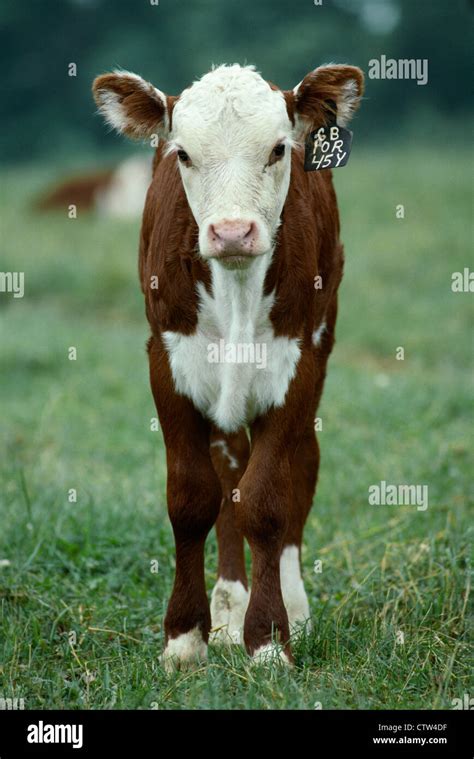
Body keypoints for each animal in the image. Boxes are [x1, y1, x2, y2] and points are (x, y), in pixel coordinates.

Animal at [94, 63, 364, 672]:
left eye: (279, 148)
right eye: (183, 153)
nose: (234, 232)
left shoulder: (297, 366)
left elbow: (266, 501)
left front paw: (268, 639)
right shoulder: (168, 363)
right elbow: (194, 498)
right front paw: (184, 637)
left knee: (297, 473)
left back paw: (292, 608)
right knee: (227, 476)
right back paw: (226, 609)